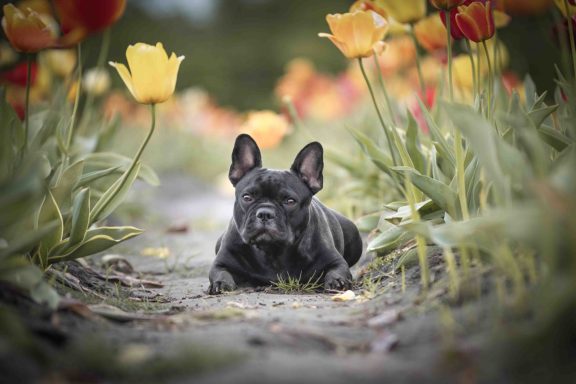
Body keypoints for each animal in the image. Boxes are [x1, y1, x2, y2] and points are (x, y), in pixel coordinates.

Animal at [207, 135, 362, 294]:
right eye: (247, 197)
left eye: (290, 201)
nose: (265, 213)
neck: (272, 251)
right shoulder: (221, 262)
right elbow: (220, 272)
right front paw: (220, 283)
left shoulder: (336, 261)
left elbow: (337, 270)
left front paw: (337, 281)